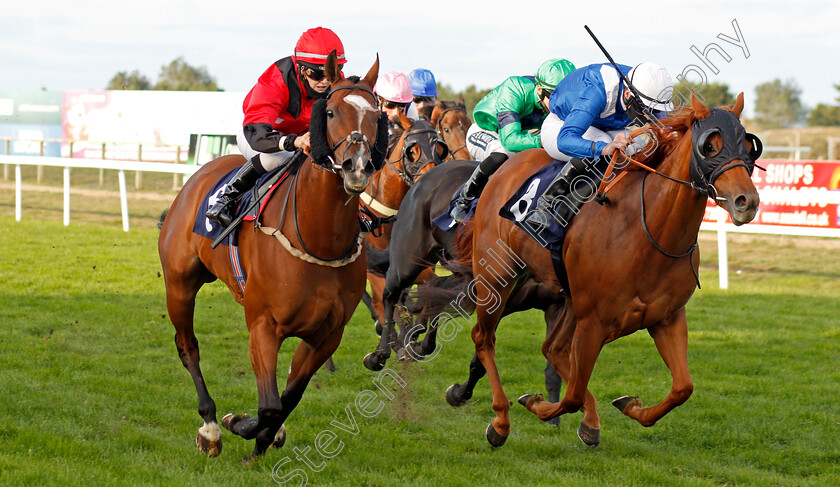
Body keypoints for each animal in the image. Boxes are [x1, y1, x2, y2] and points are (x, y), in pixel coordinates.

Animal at [158, 54, 388, 462]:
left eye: (376, 116)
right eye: (330, 112)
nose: (357, 167)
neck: (319, 239)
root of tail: (197, 176)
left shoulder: (326, 336)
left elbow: (288, 398)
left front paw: (263, 441)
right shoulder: (264, 325)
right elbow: (268, 406)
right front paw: (240, 424)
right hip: (180, 285)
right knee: (188, 347)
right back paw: (210, 426)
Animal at [440, 93, 760, 448]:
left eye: (749, 146)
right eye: (710, 145)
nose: (746, 201)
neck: (648, 230)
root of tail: (505, 166)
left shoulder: (667, 318)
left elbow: (682, 388)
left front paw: (628, 406)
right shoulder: (592, 322)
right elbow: (572, 396)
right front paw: (537, 405)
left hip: (564, 296)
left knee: (552, 349)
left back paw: (587, 420)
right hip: (497, 277)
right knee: (484, 337)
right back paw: (500, 420)